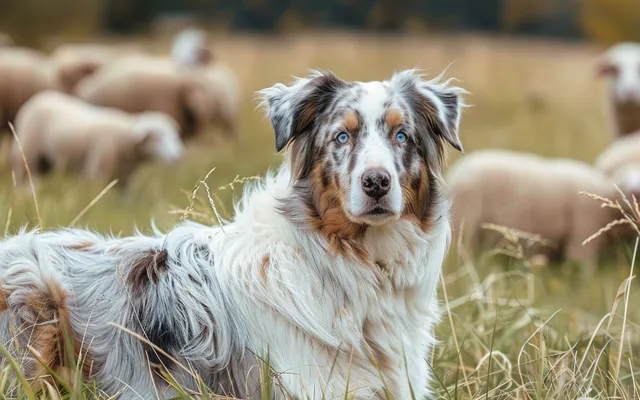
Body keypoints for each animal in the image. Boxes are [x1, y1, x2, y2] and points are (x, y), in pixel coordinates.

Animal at [11, 90, 185, 191]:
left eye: (175, 135)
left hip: (45, 161)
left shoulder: (126, 181)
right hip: (27, 153)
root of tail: (39, 97)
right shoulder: (96, 173)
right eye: (157, 136)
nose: (178, 157)